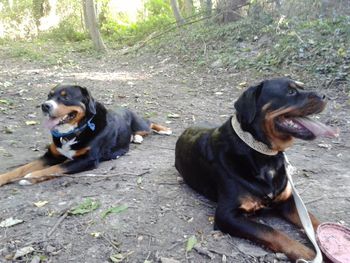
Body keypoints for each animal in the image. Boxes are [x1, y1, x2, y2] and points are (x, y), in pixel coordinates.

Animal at [0, 84, 171, 186]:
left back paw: (164, 129)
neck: (72, 133)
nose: (45, 106)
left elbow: (56, 168)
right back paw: (136, 138)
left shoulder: (87, 159)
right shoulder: (51, 155)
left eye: (66, 97)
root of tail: (125, 107)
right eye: (49, 96)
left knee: (149, 124)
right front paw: (3, 178)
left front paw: (31, 177)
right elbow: (21, 169)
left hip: (141, 125)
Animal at [175, 78, 340, 262]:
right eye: (290, 92)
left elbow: (313, 221)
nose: (325, 96)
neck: (264, 154)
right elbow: (272, 232)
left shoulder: (288, 200)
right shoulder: (227, 215)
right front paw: (308, 254)